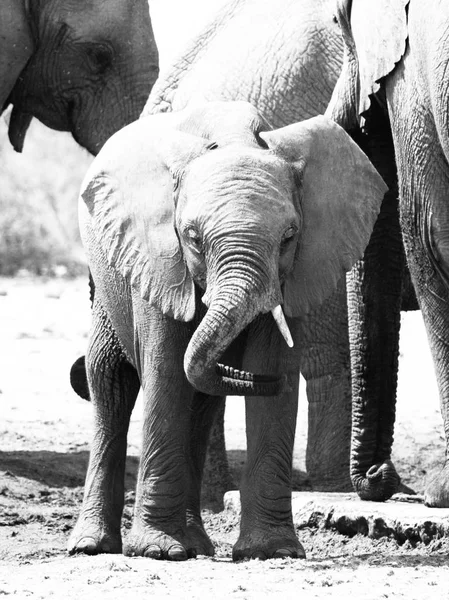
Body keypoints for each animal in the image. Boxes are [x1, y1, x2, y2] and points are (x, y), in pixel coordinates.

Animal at [70, 99, 384, 564]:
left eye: (289, 236)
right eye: (192, 237)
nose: (261, 380)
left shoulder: (294, 271)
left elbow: (268, 367)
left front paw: (272, 551)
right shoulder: (159, 260)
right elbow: (165, 372)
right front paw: (157, 551)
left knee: (201, 400)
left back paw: (195, 546)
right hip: (108, 273)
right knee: (111, 379)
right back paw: (94, 546)